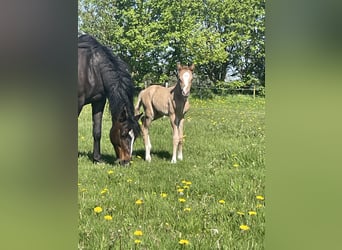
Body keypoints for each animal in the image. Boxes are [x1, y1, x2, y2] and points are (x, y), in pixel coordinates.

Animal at [78, 34, 140, 165]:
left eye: (135, 137)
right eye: (123, 134)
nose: (126, 161)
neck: (91, 68)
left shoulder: (99, 102)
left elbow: (97, 131)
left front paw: (97, 158)